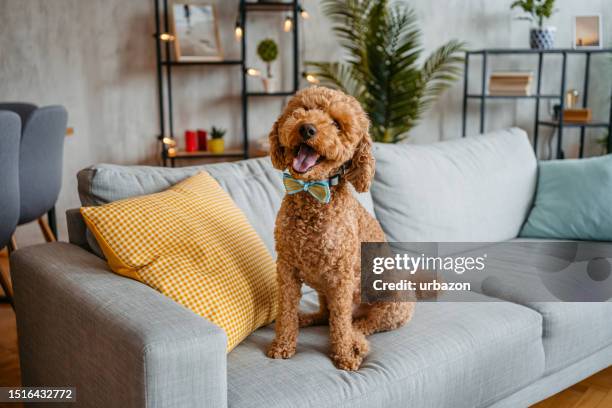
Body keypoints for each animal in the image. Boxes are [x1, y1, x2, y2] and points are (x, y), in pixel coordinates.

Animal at [266, 87, 414, 372]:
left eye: (337, 124)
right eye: (303, 110)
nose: (307, 128)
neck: (312, 195)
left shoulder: (342, 277)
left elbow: (341, 326)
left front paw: (344, 355)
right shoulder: (287, 269)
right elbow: (286, 312)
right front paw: (282, 345)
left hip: (389, 305)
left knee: (359, 324)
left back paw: (356, 341)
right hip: (324, 291)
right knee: (327, 316)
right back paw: (307, 318)